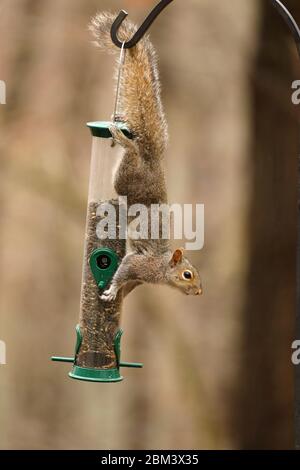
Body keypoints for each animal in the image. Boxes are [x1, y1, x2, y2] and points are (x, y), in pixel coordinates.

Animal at [89, 12, 202, 302]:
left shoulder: (139, 278)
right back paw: (122, 140)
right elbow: (123, 271)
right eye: (187, 274)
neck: (161, 269)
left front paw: (118, 295)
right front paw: (111, 291)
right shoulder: (138, 264)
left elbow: (128, 285)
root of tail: (152, 161)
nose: (199, 291)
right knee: (131, 154)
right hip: (128, 177)